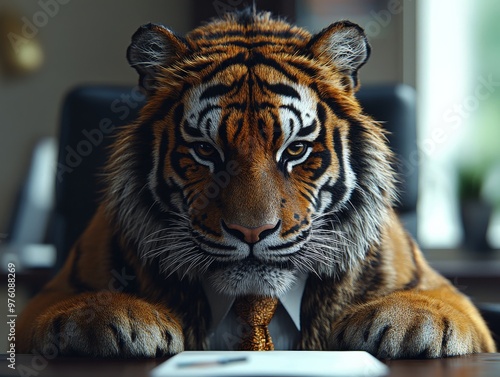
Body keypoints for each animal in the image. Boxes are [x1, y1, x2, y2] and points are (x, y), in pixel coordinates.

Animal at [17, 9, 494, 358]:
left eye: (295, 149)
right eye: (205, 151)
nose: (252, 232)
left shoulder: (448, 294)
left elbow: (444, 304)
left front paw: (411, 320)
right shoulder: (49, 295)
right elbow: (67, 306)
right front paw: (114, 315)